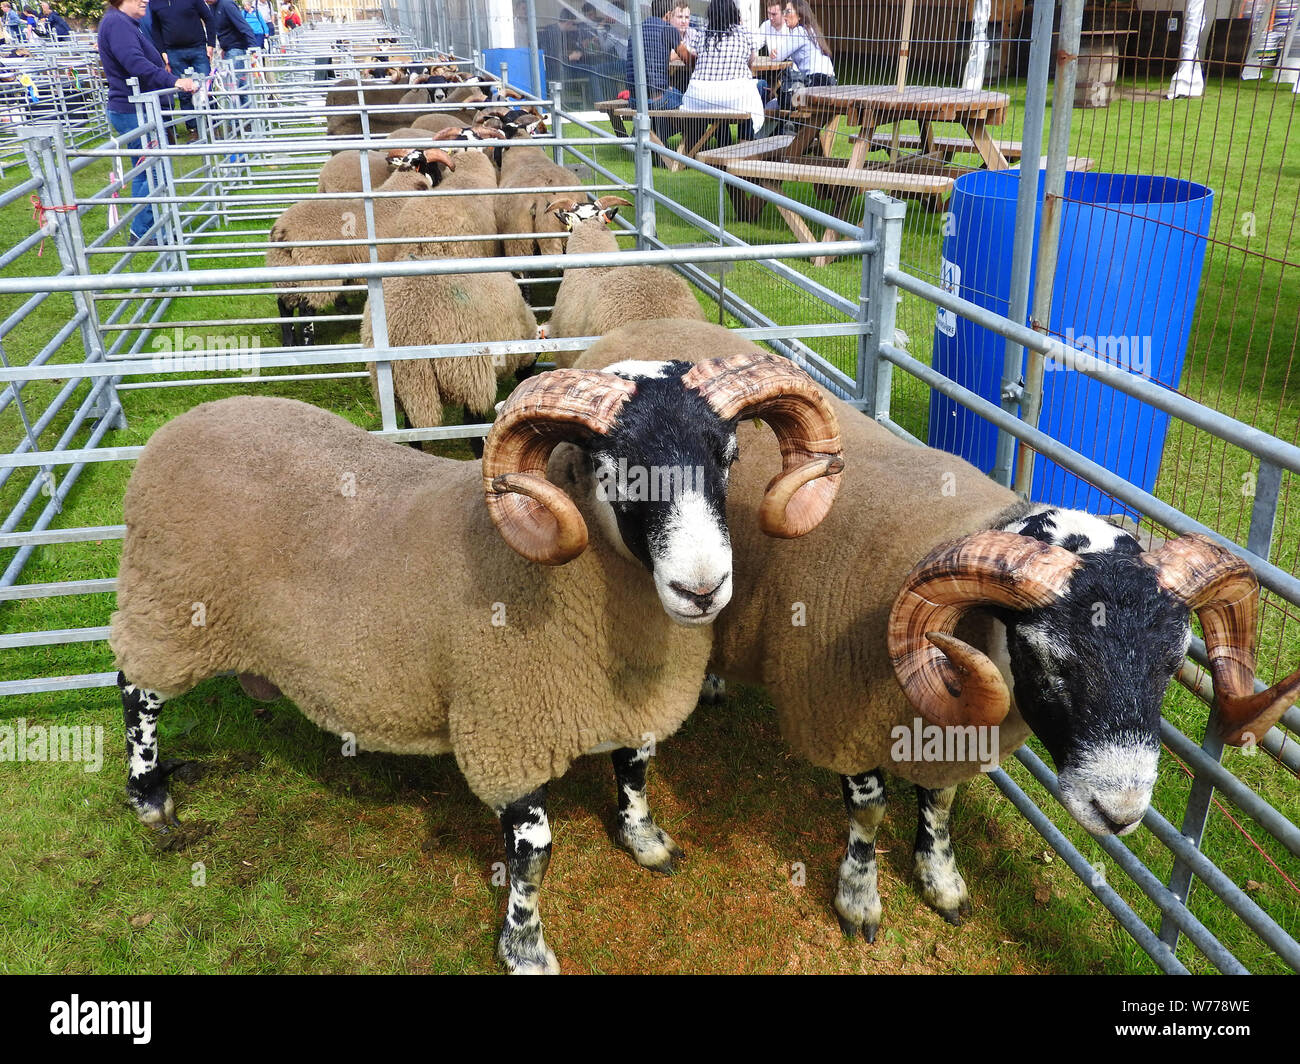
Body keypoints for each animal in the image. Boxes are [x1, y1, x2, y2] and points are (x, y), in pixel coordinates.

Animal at [109, 353, 842, 967]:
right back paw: (150, 796)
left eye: (728, 455)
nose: (701, 588)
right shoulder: (503, 730)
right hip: (168, 610)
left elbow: (635, 770)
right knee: (135, 690)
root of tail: (185, 421)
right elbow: (533, 853)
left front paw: (644, 840)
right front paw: (524, 947)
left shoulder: (630, 702)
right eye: (615, 470)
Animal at [577, 321, 1300, 936]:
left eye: (1173, 664)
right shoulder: (842, 714)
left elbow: (942, 804)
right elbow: (869, 811)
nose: (1118, 814)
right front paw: (859, 899)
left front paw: (942, 880)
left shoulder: (951, 731)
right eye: (1047, 657)